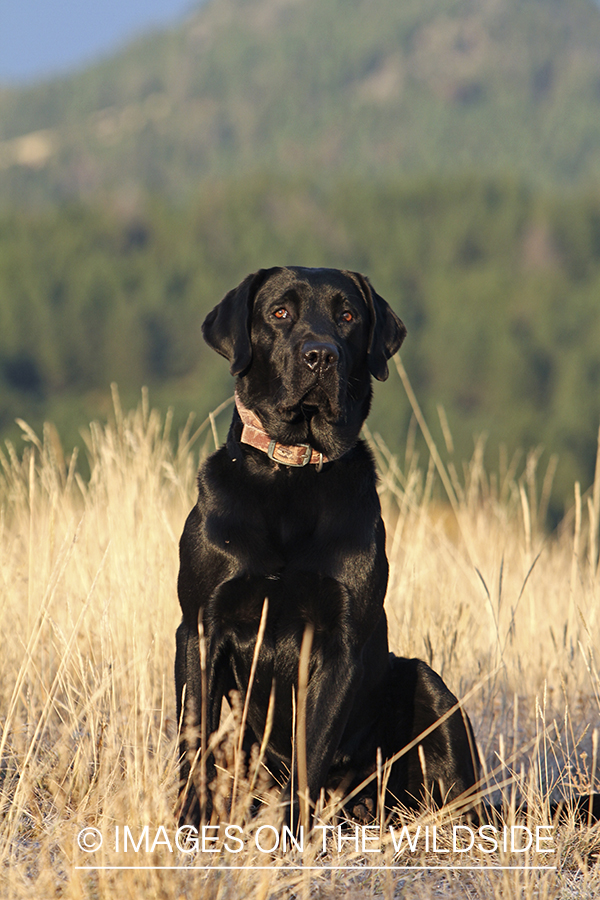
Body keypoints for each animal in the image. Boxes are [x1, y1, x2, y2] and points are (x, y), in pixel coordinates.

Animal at [175, 264, 482, 828]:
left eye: (348, 317)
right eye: (279, 312)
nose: (322, 355)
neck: (293, 474)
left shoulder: (339, 644)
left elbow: (309, 755)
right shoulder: (200, 626)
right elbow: (195, 743)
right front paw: (187, 827)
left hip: (431, 686)